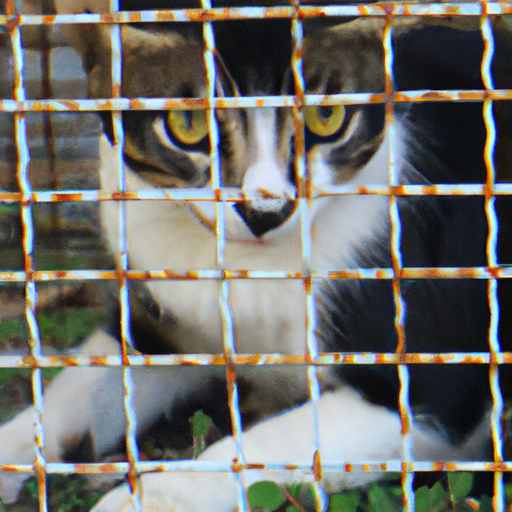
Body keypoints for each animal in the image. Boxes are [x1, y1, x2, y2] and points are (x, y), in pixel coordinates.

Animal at [1, 2, 512, 510]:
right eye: (188, 124)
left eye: (326, 116)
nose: (265, 209)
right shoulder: (157, 328)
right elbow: (74, 390)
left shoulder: (432, 392)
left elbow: (264, 446)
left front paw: (138, 499)